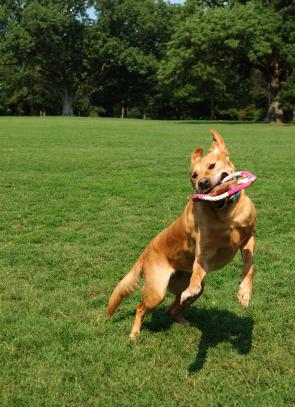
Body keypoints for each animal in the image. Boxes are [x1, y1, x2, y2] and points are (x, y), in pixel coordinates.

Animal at [108, 131, 256, 342]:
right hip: (157, 291)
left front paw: (244, 293)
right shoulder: (203, 254)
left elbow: (249, 266)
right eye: (194, 175)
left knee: (172, 309)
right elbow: (198, 271)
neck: (224, 211)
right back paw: (134, 333)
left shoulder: (249, 238)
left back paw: (185, 322)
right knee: (141, 307)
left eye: (212, 166)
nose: (202, 183)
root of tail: (145, 252)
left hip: (186, 286)